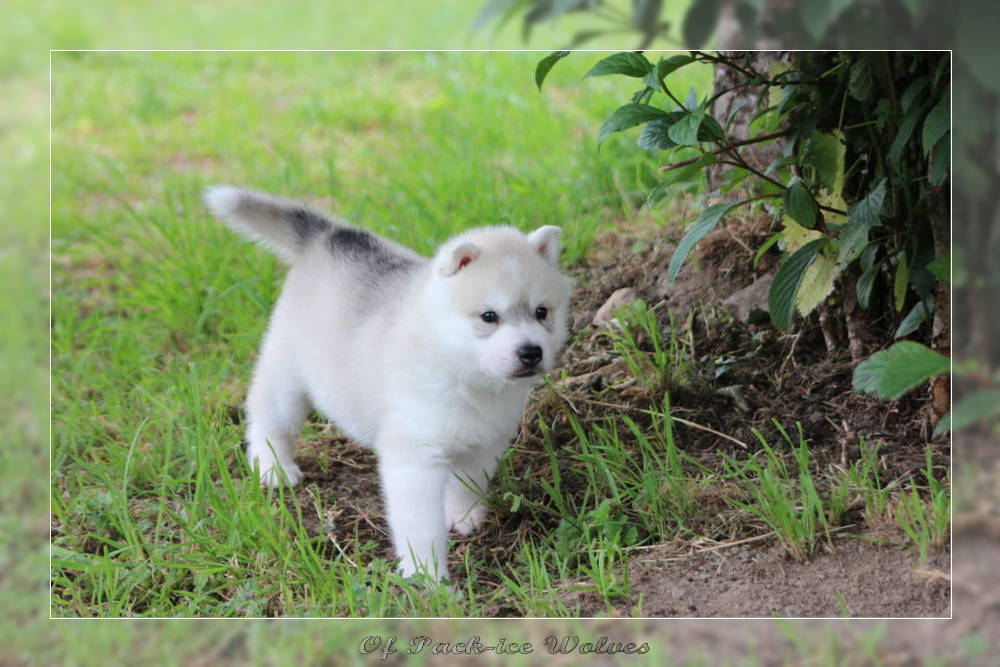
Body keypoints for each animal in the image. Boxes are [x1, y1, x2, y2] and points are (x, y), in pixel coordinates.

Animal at [203, 187, 572, 580]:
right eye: (489, 316)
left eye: (542, 312)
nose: (531, 353)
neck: (462, 373)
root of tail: (331, 235)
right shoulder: (414, 459)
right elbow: (421, 528)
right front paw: (428, 579)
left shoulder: (484, 442)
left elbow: (467, 482)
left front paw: (464, 515)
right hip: (287, 373)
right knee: (269, 416)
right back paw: (273, 467)